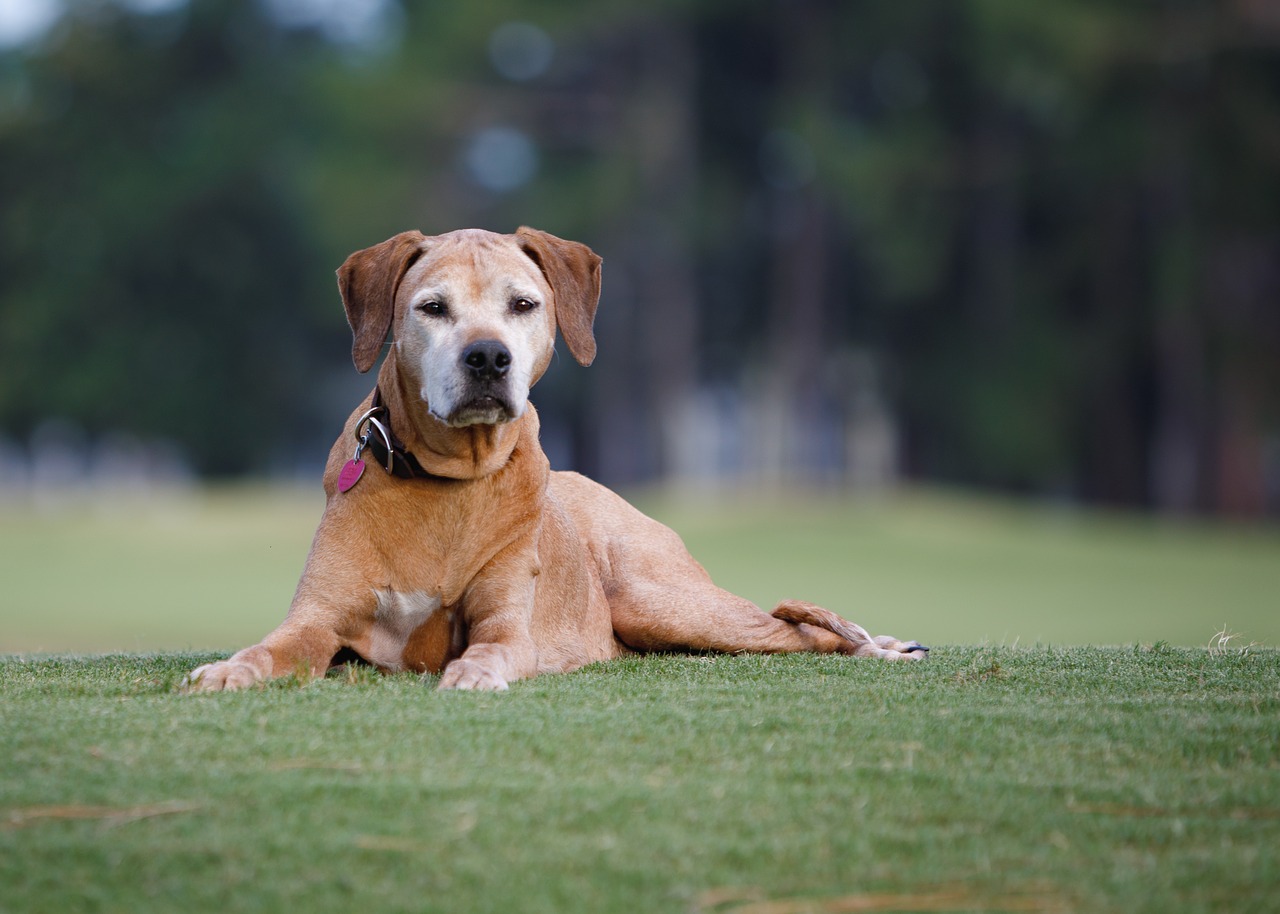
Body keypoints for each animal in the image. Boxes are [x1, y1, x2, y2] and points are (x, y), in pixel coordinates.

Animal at [189, 227, 926, 691]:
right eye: (432, 307)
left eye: (523, 304)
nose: (488, 357)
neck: (448, 482)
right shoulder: (318, 619)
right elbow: (279, 645)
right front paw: (233, 669)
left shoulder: (507, 621)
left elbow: (494, 644)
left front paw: (476, 673)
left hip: (661, 599)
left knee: (796, 629)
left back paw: (883, 649)